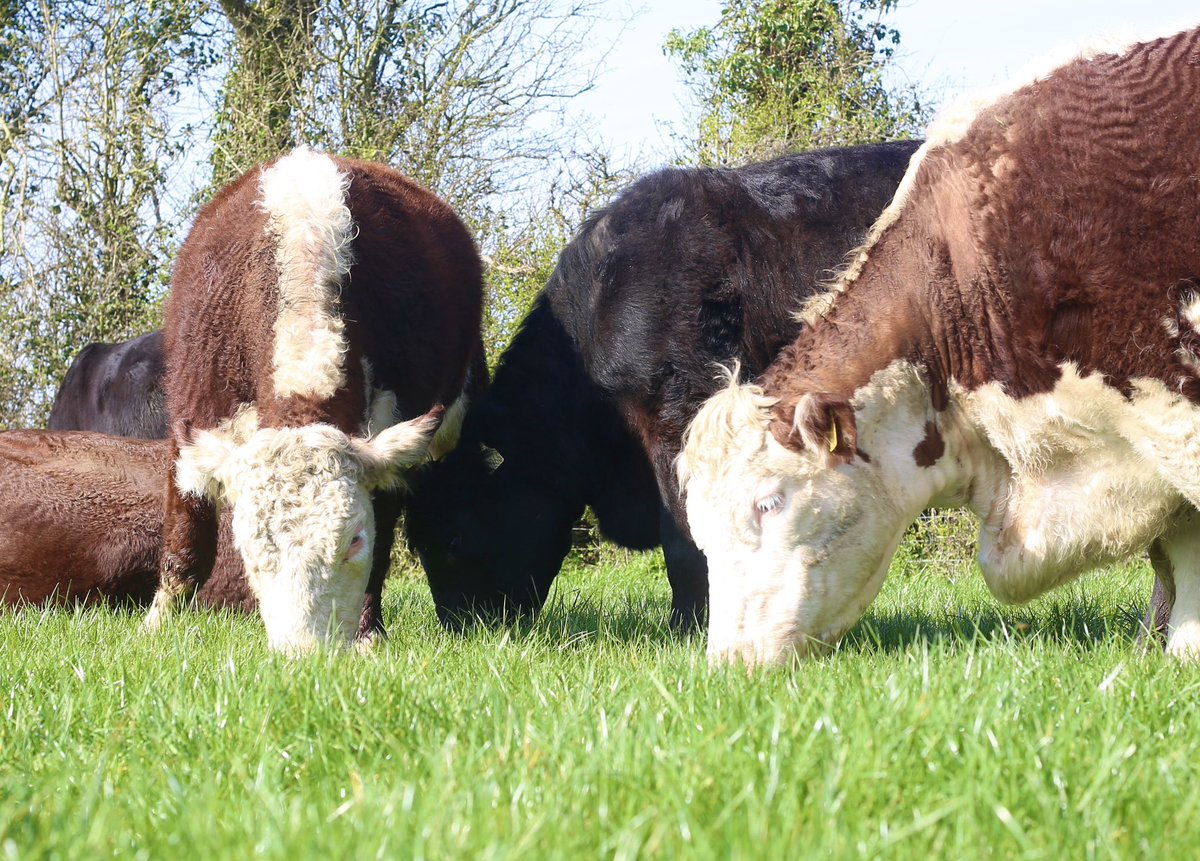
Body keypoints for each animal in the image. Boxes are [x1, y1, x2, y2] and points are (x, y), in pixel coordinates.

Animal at [146, 146, 485, 655]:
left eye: (354, 540)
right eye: (249, 550)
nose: (306, 654)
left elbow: (381, 551)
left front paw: (367, 634)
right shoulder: (196, 414)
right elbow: (187, 543)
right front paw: (156, 625)